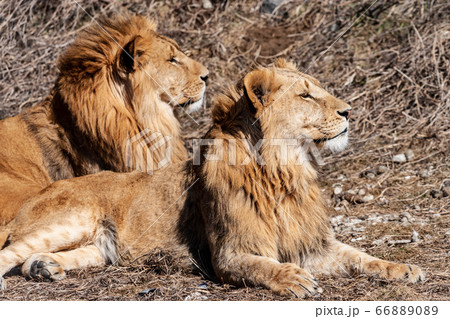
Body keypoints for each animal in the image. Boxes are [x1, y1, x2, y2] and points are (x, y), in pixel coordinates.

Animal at [0, 60, 424, 298]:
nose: (349, 111)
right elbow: (262, 267)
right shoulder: (229, 254)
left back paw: (44, 268)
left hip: (99, 248)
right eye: (306, 95)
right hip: (71, 219)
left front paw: (404, 269)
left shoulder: (311, 245)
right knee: (11, 252)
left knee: (34, 259)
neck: (285, 170)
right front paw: (293, 279)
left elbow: (360, 257)